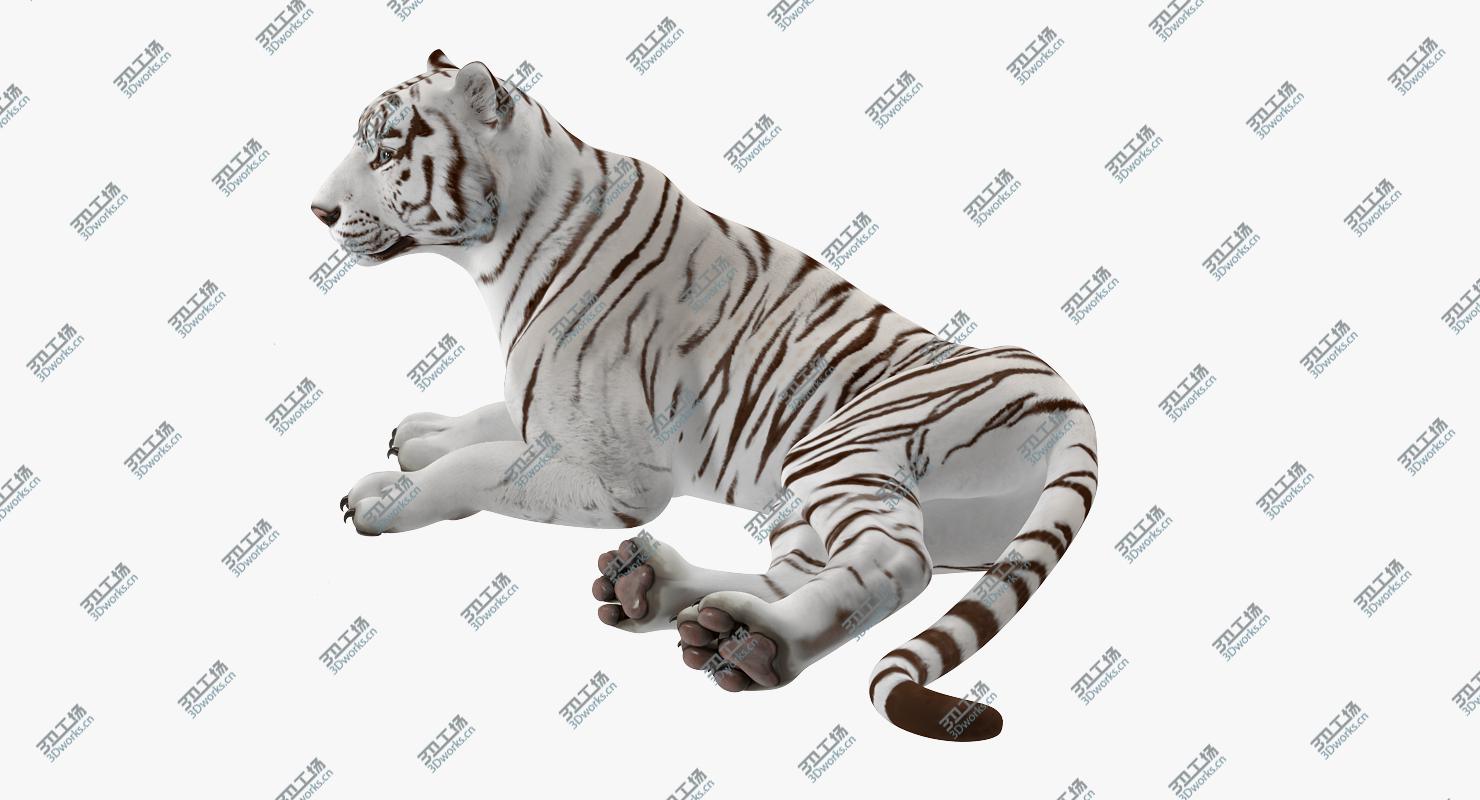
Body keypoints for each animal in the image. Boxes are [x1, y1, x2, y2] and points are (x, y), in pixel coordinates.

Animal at [311, 50, 1099, 742]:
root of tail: (1072, 408)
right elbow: (489, 418)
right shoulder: (549, 414)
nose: (317, 210)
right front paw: (418, 433)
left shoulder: (624, 481)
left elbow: (480, 468)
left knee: (896, 564)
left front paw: (385, 497)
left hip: (838, 449)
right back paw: (662, 596)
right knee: (797, 573)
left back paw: (759, 646)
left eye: (385, 152)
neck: (501, 246)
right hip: (808, 503)